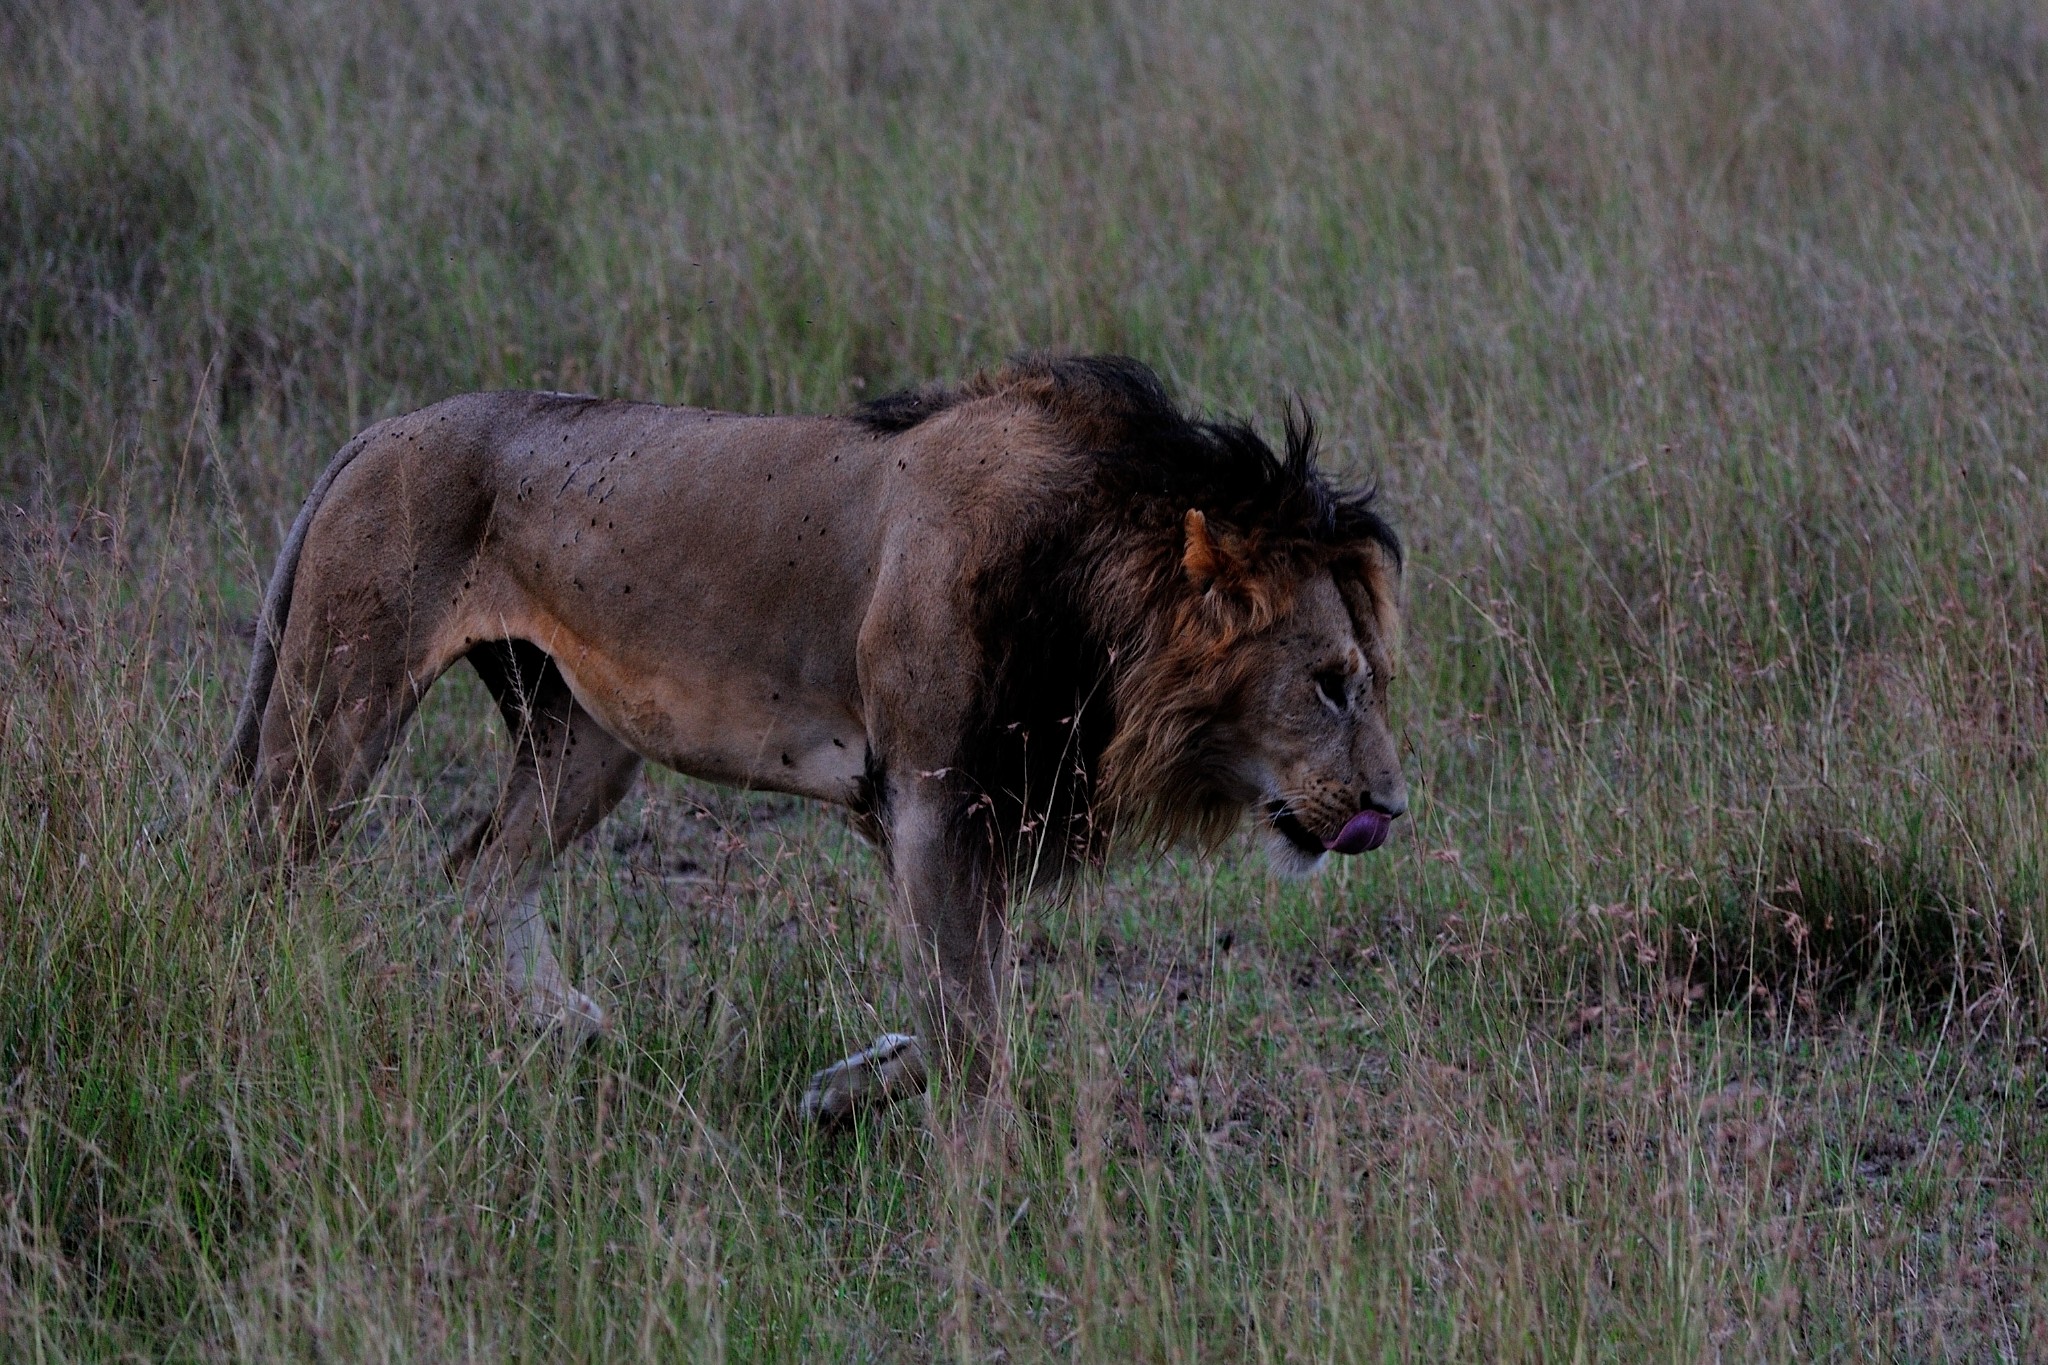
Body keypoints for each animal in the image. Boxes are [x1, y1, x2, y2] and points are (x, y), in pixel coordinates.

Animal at [224, 351, 1409, 1121]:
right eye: (1330, 684)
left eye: (1364, 681)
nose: (1390, 810)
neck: (1091, 595)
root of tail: (386, 427)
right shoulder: (932, 801)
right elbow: (970, 1029)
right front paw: (968, 1171)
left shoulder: (980, 820)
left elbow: (960, 1011)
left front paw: (845, 1087)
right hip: (340, 708)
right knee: (257, 869)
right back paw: (246, 1013)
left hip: (585, 736)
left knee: (480, 872)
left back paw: (563, 1025)